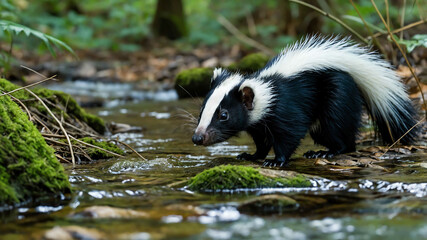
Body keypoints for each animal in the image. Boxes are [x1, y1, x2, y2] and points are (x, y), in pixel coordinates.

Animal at [192, 35, 420, 167]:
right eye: (202, 110)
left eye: (224, 115)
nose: (197, 138)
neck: (266, 91)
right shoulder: (259, 123)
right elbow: (262, 140)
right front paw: (252, 156)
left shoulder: (285, 108)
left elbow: (290, 134)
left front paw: (276, 161)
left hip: (337, 95)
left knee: (338, 129)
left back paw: (327, 152)